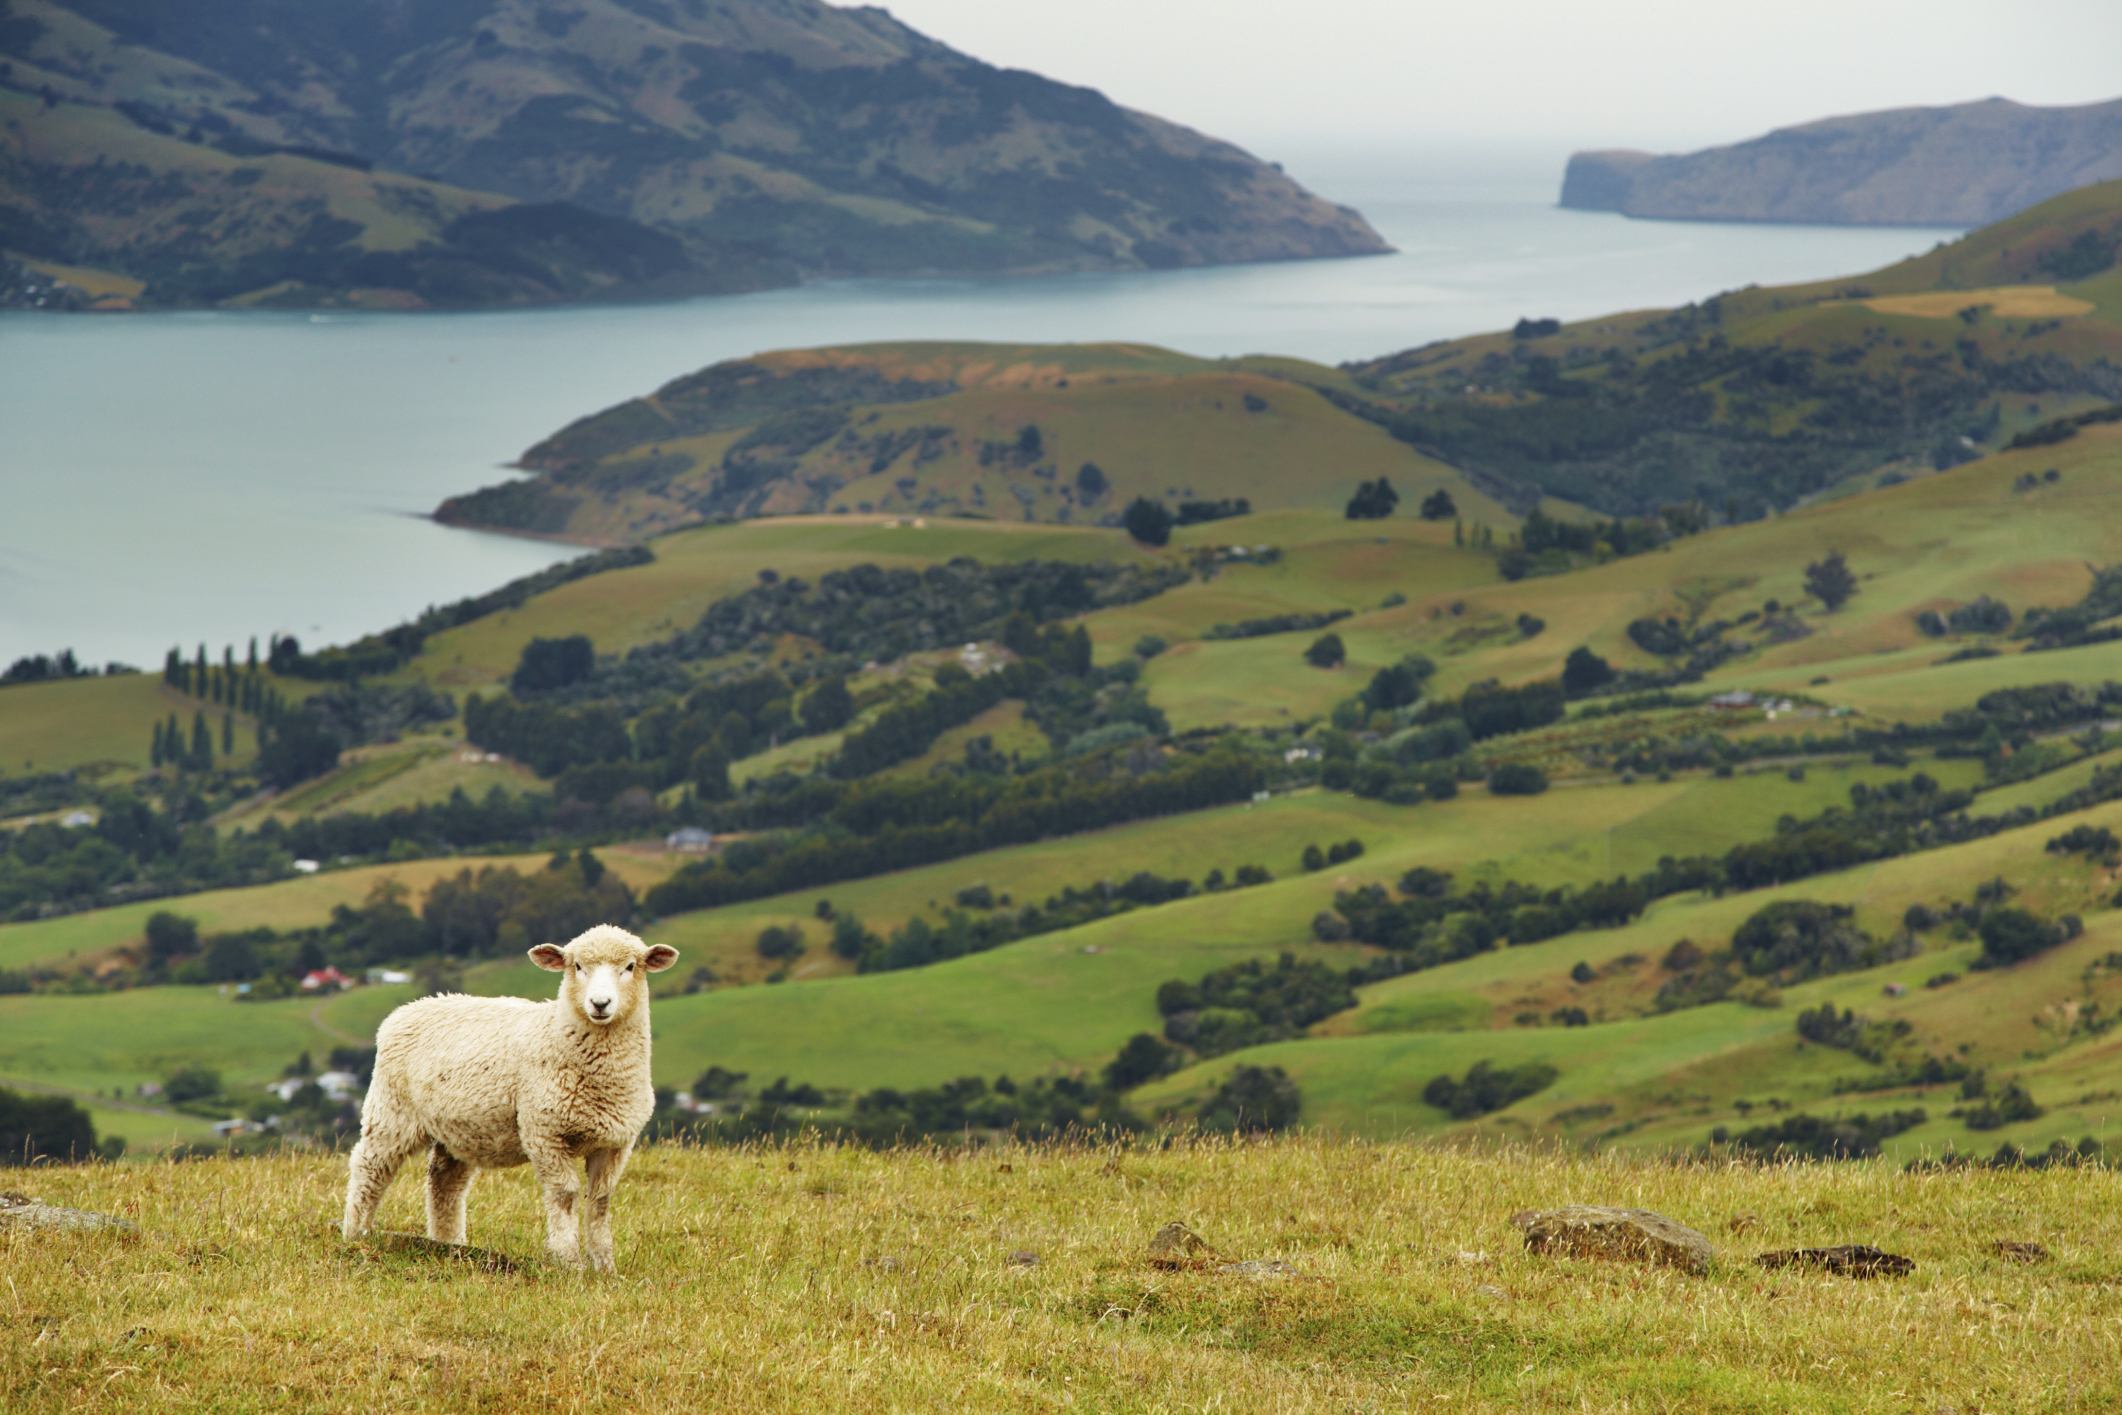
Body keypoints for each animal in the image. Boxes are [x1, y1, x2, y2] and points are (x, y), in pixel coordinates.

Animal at [339, 929, 674, 1272]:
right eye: (577, 966)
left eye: (631, 966)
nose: (600, 1003)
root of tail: (412, 1006)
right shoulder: (544, 1132)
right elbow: (564, 1195)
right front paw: (569, 1262)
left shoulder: (616, 1142)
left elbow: (601, 1201)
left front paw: (605, 1267)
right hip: (392, 1110)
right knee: (370, 1168)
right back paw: (356, 1235)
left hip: (459, 1128)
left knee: (444, 1182)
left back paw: (449, 1245)